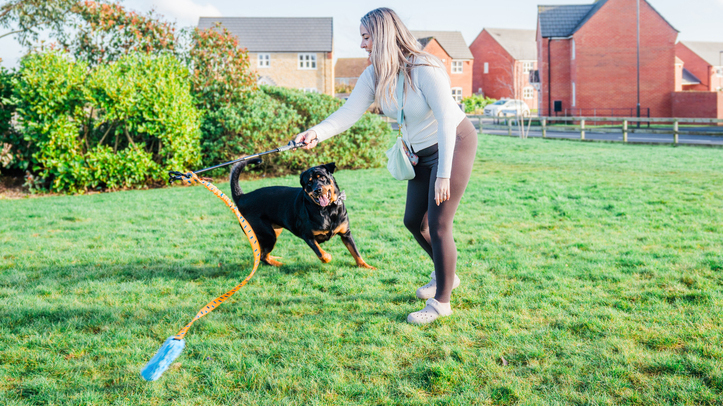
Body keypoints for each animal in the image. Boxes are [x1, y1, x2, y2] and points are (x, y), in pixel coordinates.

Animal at [230, 159, 375, 269]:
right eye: (309, 182)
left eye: (322, 177)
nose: (317, 190)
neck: (328, 210)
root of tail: (243, 197)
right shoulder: (307, 235)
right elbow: (321, 253)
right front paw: (328, 257)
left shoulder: (346, 234)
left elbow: (355, 252)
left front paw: (365, 266)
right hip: (268, 234)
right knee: (262, 255)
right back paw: (278, 264)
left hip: (274, 231)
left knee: (261, 253)